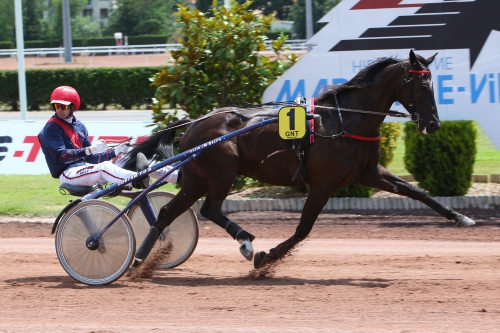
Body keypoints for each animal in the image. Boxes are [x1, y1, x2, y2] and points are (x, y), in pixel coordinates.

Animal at [123, 50, 474, 270]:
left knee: (170, 212)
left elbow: (417, 191)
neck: (345, 121)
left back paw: (141, 260)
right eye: (423, 84)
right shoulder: (323, 184)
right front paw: (267, 258)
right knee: (207, 209)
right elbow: (304, 229)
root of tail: (193, 124)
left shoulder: (369, 173)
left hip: (199, 179)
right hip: (222, 173)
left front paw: (461, 217)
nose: (433, 124)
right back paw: (245, 242)